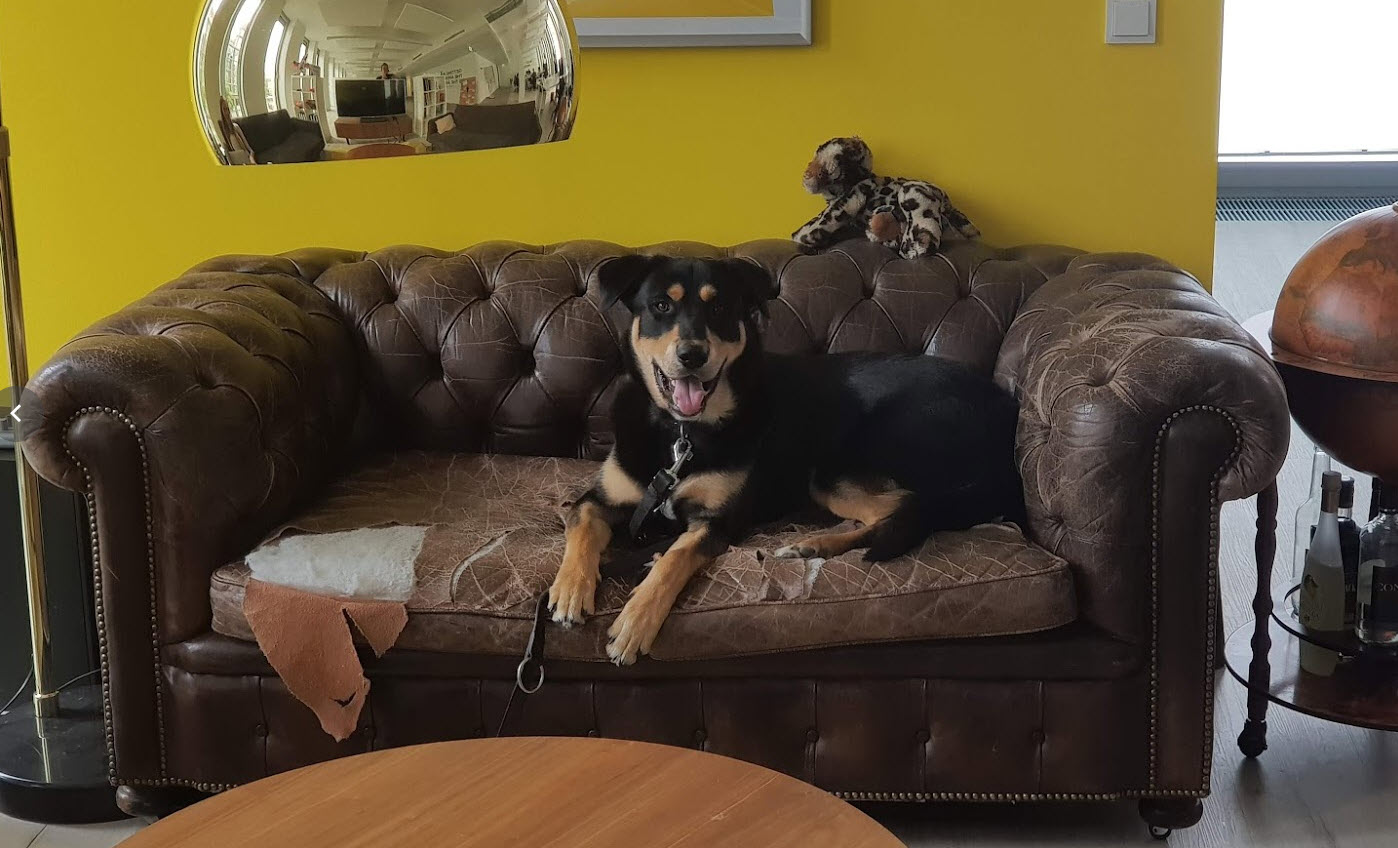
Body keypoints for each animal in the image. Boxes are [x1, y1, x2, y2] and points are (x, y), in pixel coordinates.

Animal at [548, 255, 1025, 665]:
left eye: (720, 307)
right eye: (661, 306)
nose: (693, 355)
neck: (682, 434)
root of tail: (1005, 412)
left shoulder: (718, 522)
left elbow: (674, 559)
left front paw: (636, 622)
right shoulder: (601, 497)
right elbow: (581, 524)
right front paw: (570, 590)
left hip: (837, 465)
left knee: (907, 506)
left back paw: (814, 543)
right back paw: (814, 545)